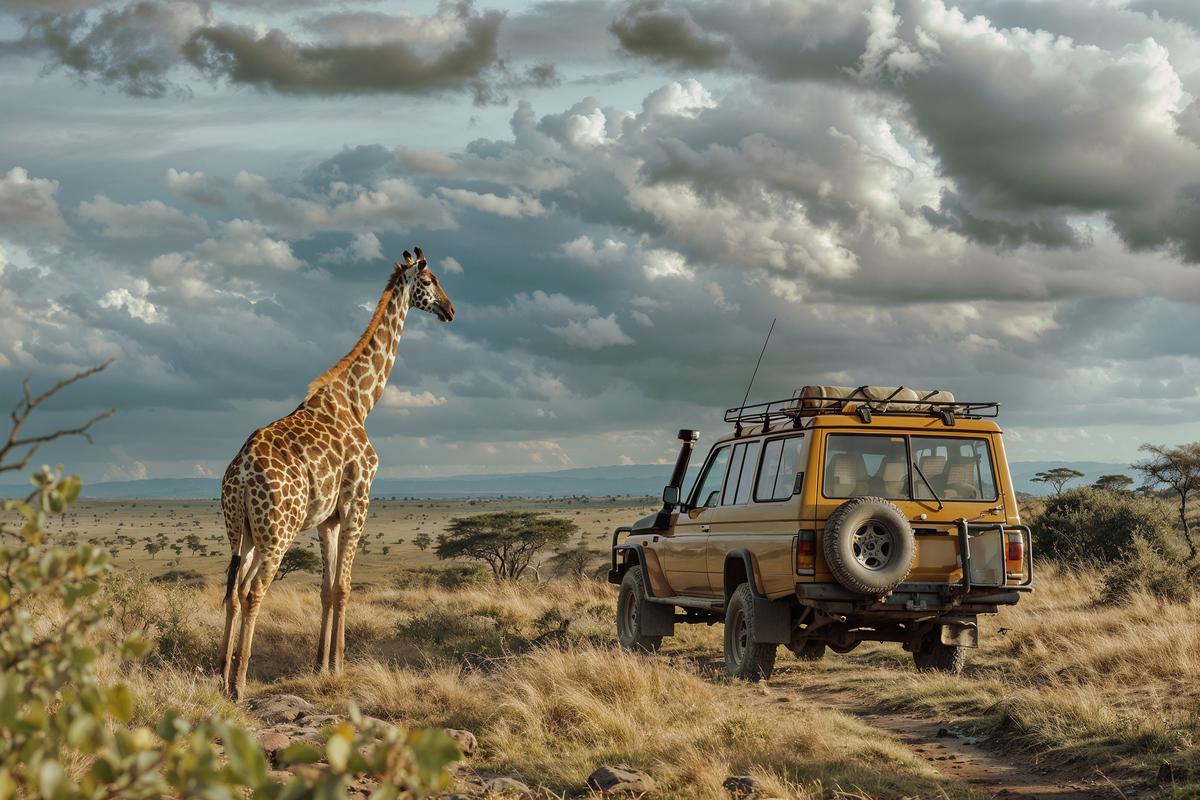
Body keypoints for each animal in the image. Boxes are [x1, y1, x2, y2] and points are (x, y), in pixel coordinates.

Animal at [218, 245, 456, 700]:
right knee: (254, 591)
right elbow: (344, 587)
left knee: (234, 591)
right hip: (278, 532)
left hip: (242, 531)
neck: (359, 400)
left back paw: (218, 674)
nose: (451, 310)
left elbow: (326, 590)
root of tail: (239, 476)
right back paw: (238, 684)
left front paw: (320, 664)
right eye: (430, 279)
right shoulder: (358, 501)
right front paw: (340, 665)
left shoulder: (326, 519)